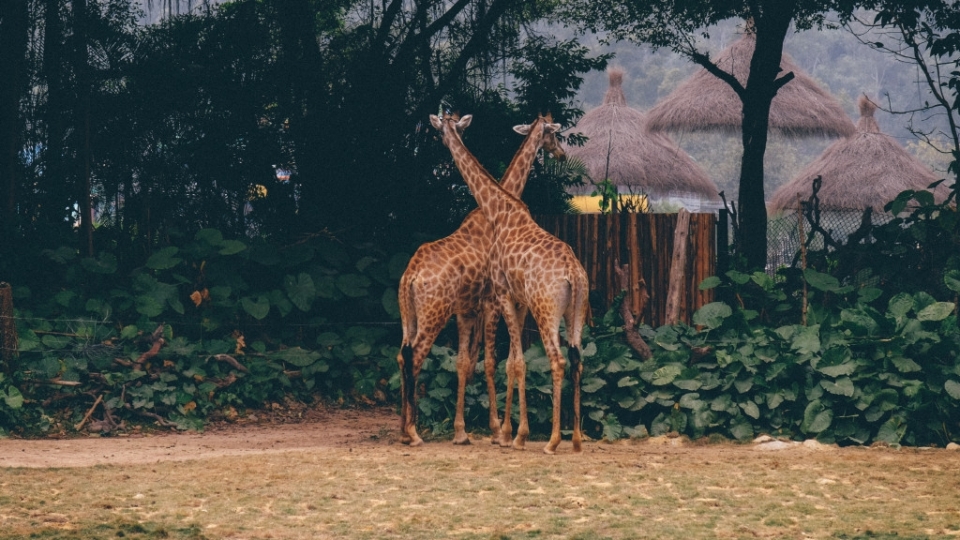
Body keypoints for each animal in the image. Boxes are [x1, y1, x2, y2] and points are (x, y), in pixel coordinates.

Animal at [396, 112, 568, 446]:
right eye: (554, 134)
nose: (562, 154)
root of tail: (410, 275)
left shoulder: (467, 309)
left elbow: (465, 363)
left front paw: (463, 431)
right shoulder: (490, 302)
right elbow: (492, 362)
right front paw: (499, 430)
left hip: (409, 316)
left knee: (401, 355)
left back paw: (403, 430)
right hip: (434, 314)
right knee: (415, 356)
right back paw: (413, 432)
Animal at [430, 112, 592, 454]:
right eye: (553, 135)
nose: (561, 155)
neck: (499, 209)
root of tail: (574, 273)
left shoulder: (504, 297)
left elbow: (509, 363)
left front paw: (510, 433)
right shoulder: (514, 302)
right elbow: (511, 362)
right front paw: (511, 432)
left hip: (543, 312)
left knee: (555, 360)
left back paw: (551, 440)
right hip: (576, 312)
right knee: (576, 360)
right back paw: (574, 439)